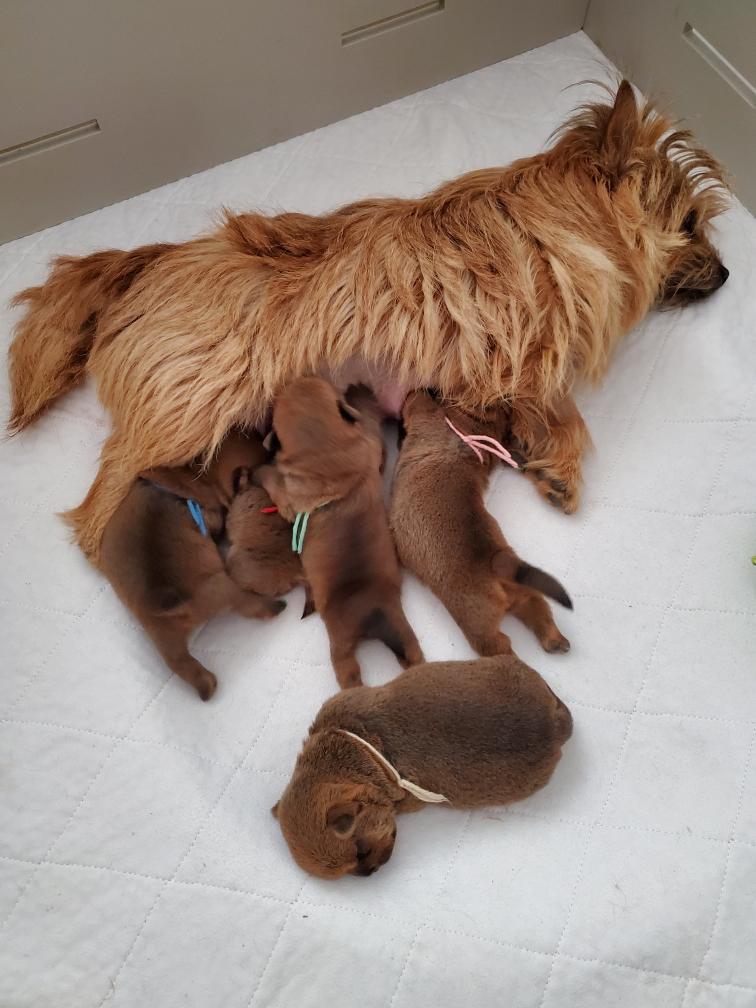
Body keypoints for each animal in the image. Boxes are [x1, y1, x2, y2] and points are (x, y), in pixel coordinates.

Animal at [8, 81, 728, 561]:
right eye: (691, 222)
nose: (726, 275)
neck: (559, 220)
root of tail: (147, 259)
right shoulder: (523, 350)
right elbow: (563, 412)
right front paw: (561, 465)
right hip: (191, 399)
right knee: (102, 500)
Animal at [100, 431, 285, 700]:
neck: (196, 473)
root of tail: (172, 603)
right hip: (224, 589)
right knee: (249, 605)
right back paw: (275, 607)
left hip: (161, 634)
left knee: (180, 663)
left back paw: (206, 685)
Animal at [254, 376, 423, 688]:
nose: (299, 377)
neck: (325, 454)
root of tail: (372, 614)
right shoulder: (368, 445)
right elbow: (369, 427)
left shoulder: (287, 496)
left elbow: (272, 478)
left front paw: (258, 470)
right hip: (403, 629)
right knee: (411, 652)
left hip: (340, 643)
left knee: (347, 671)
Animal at [391, 390, 572, 656]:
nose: (427, 388)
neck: (467, 430)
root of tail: (498, 564)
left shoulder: (427, 414)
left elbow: (419, 408)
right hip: (524, 593)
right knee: (538, 607)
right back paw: (556, 640)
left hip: (477, 622)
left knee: (499, 646)